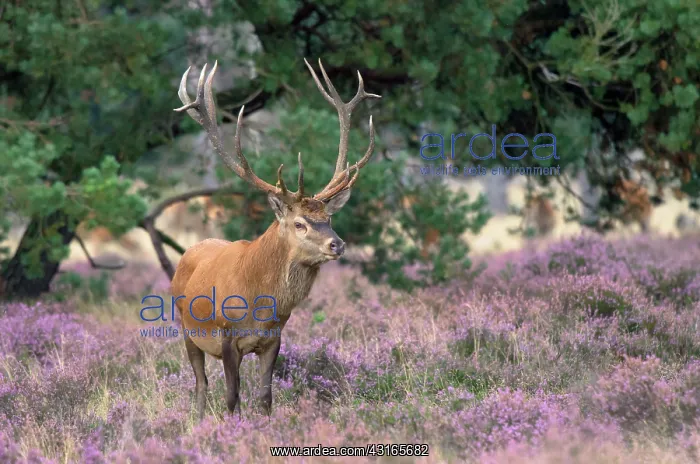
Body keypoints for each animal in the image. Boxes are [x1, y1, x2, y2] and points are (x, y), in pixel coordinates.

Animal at [170, 58, 380, 419]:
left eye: (328, 218)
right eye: (299, 223)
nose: (337, 244)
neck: (260, 304)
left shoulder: (274, 338)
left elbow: (266, 397)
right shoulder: (227, 337)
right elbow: (232, 397)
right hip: (186, 329)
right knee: (200, 384)